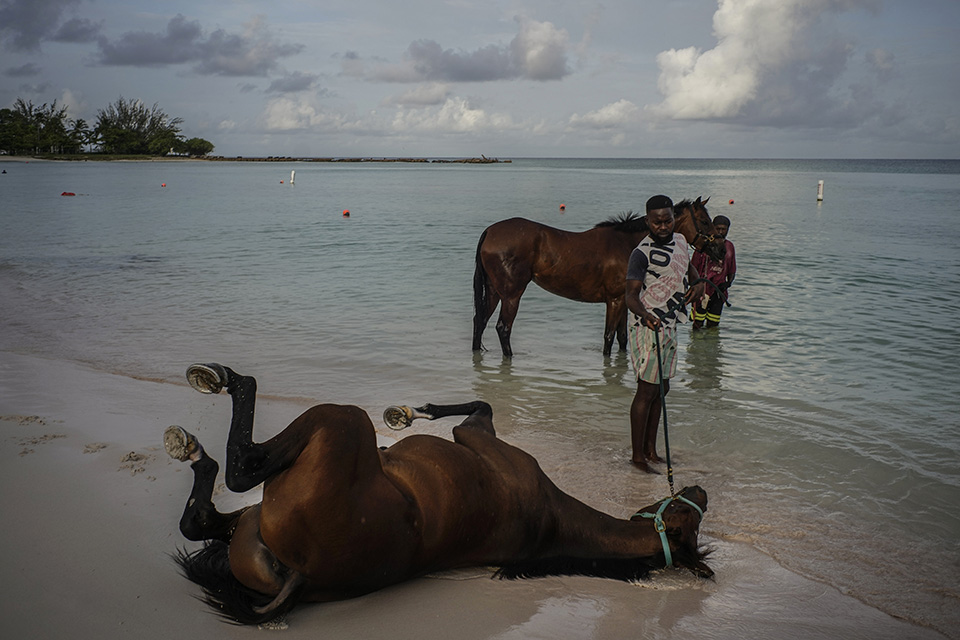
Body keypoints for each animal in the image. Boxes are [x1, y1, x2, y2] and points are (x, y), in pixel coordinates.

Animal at [169, 364, 712, 624]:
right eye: (692, 518)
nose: (701, 489)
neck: (553, 518)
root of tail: (300, 577)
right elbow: (479, 401)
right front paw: (408, 415)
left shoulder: (476, 437)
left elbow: (478, 406)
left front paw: (408, 414)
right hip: (248, 523)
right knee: (201, 520)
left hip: (339, 422)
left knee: (240, 468)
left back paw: (212, 402)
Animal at [472, 196, 720, 356]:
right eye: (705, 221)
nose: (720, 249)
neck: (628, 244)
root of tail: (490, 231)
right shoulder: (615, 300)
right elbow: (609, 338)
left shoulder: (623, 301)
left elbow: (621, 338)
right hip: (512, 295)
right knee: (503, 328)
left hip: (495, 291)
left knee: (480, 320)